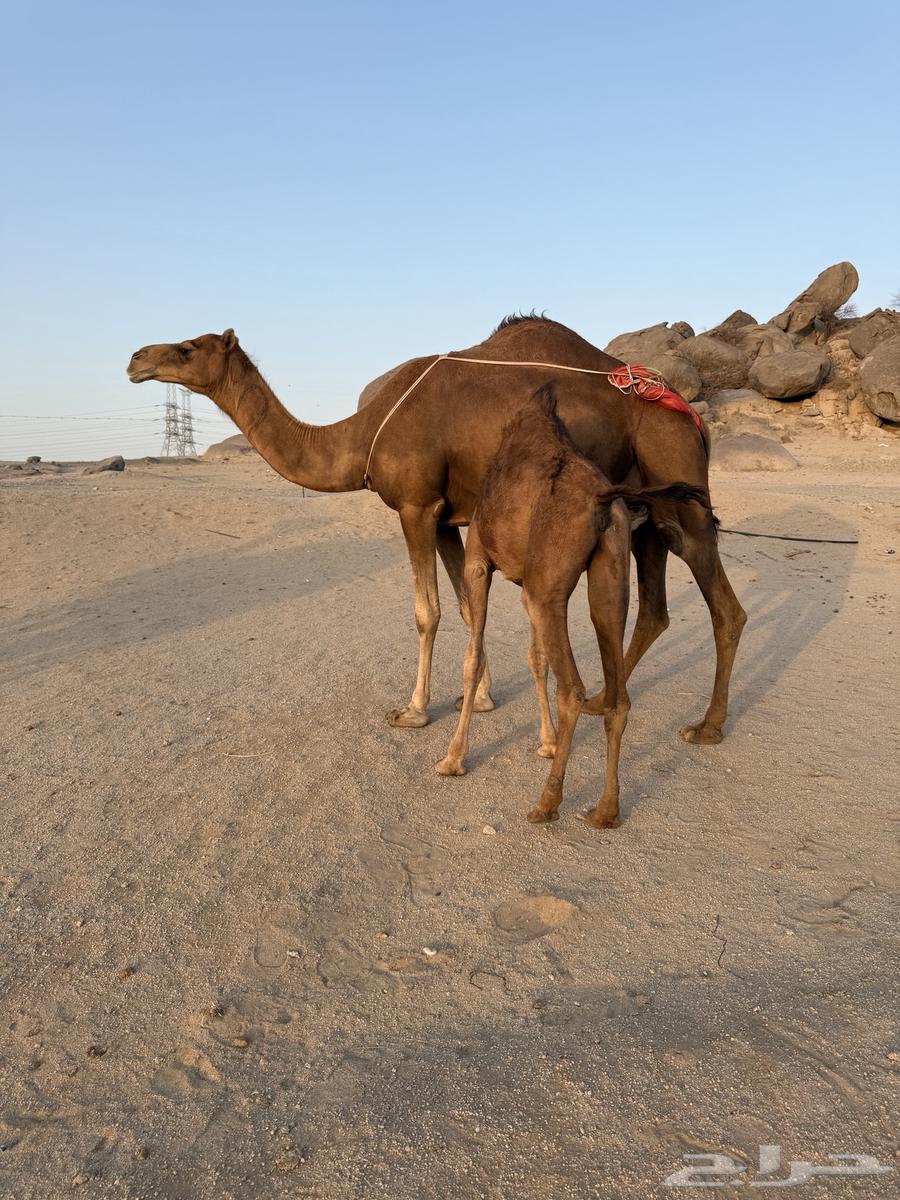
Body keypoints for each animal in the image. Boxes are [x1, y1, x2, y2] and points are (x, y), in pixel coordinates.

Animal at [127, 317, 745, 742]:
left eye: (187, 347)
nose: (135, 357)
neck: (362, 433)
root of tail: (685, 410)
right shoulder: (450, 517)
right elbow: (470, 609)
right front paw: (487, 698)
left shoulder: (417, 506)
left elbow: (428, 612)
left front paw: (414, 709)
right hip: (644, 510)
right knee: (656, 605)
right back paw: (598, 701)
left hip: (677, 478)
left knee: (724, 605)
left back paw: (706, 726)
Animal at [435, 384, 710, 827]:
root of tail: (602, 498)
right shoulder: (526, 582)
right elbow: (536, 658)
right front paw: (546, 742)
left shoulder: (479, 560)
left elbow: (472, 659)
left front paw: (452, 758)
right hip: (607, 575)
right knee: (617, 694)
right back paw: (606, 810)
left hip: (549, 587)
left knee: (573, 689)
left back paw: (547, 803)